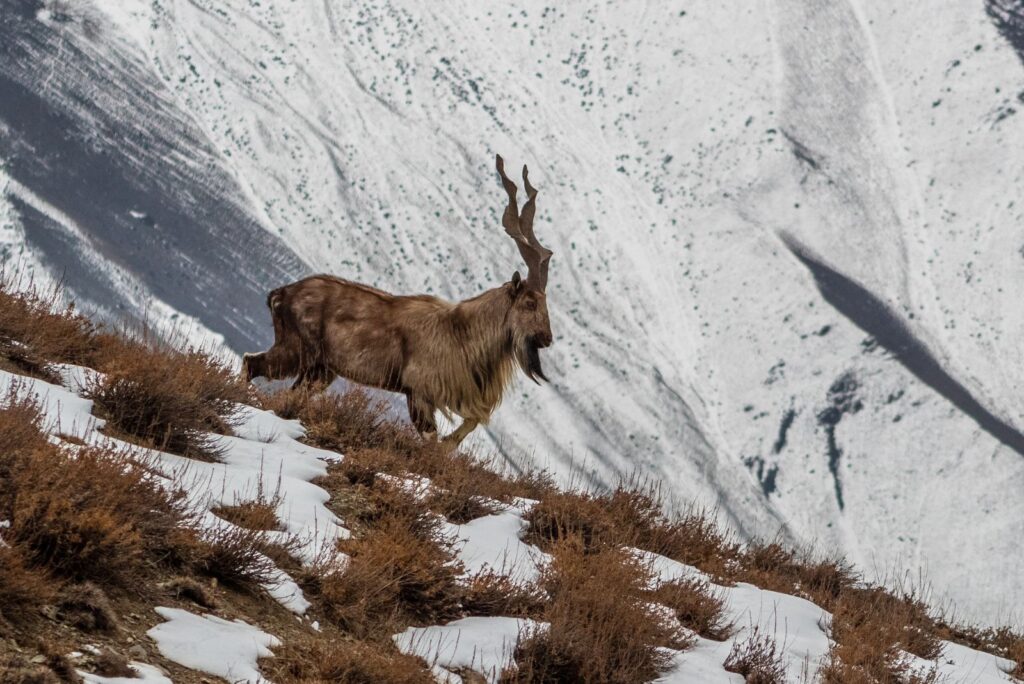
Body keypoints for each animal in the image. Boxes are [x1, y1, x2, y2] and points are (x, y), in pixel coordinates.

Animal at [243, 154, 552, 444]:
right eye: (529, 302)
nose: (546, 338)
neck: (462, 332)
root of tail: (280, 294)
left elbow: (466, 427)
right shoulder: (419, 392)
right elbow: (432, 439)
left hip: (321, 370)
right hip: (297, 351)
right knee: (252, 363)